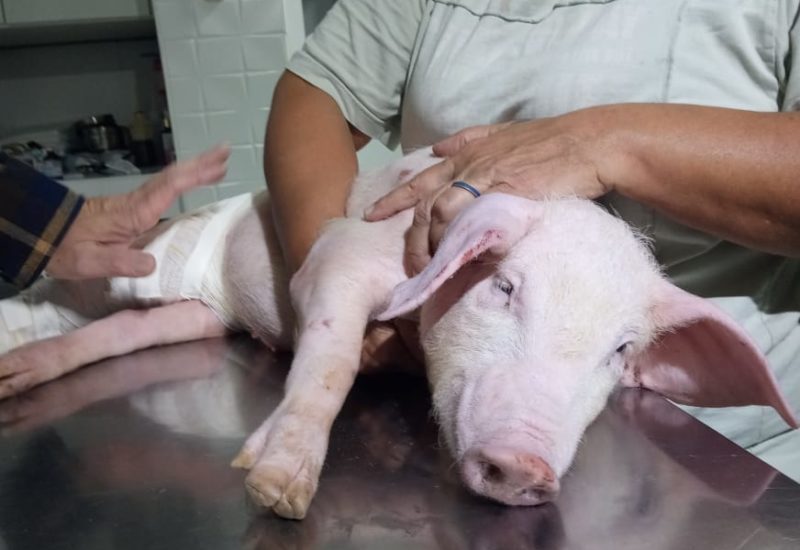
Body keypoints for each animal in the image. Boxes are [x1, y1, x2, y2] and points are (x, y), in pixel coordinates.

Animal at [0, 147, 797, 520]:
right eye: (505, 288)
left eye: (621, 350)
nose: (527, 466)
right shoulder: (340, 255)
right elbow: (328, 356)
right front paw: (275, 492)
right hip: (138, 263)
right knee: (61, 295)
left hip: (184, 317)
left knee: (116, 333)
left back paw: (17, 374)